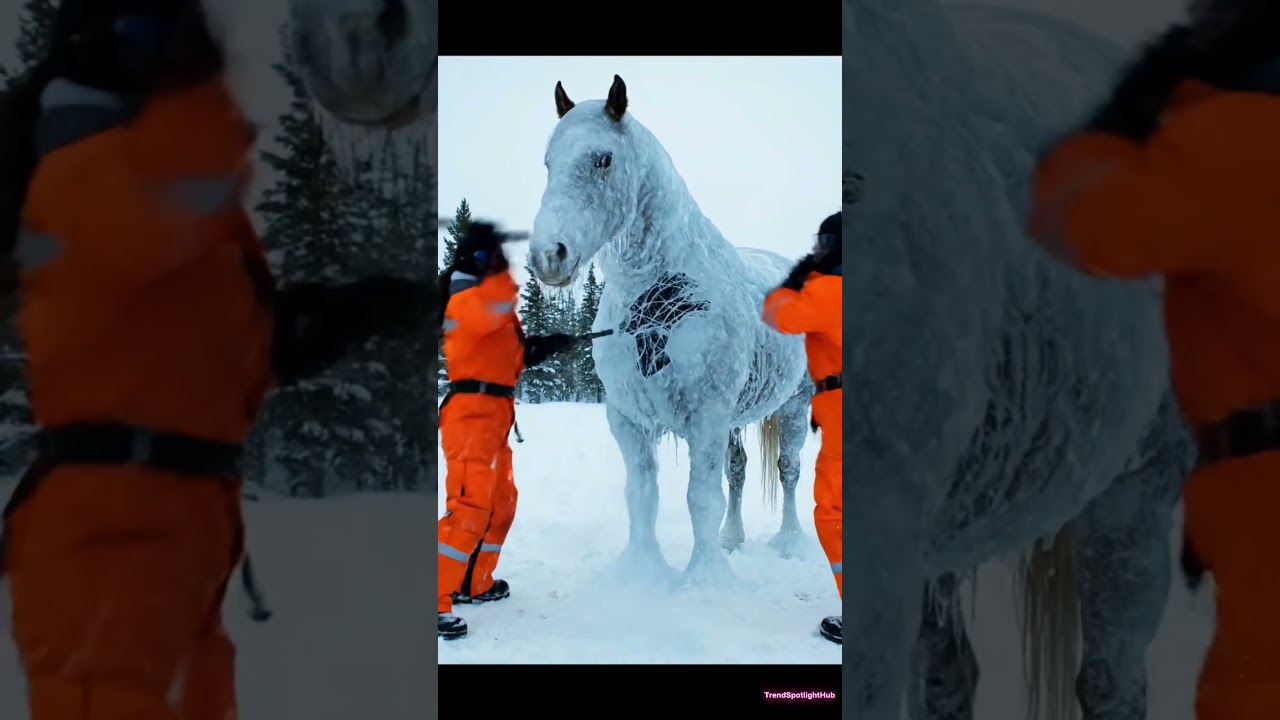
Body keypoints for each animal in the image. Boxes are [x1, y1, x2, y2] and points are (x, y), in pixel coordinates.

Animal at [525, 75, 818, 585]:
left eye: (604, 159)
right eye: (548, 161)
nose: (549, 255)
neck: (655, 306)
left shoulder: (707, 418)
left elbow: (701, 496)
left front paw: (706, 580)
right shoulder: (628, 419)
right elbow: (642, 495)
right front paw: (643, 575)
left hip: (794, 407)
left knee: (789, 470)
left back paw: (789, 542)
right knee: (739, 470)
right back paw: (732, 539)